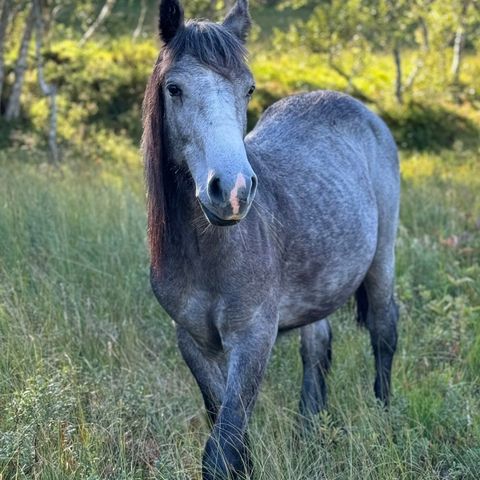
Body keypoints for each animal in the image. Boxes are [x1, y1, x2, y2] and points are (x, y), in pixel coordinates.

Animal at [142, 0, 402, 476]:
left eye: (247, 89)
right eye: (174, 88)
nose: (232, 190)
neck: (211, 252)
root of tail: (361, 111)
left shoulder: (253, 339)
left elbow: (222, 447)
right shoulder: (193, 342)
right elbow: (228, 434)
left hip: (382, 261)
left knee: (383, 331)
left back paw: (384, 418)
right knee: (317, 349)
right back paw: (308, 434)